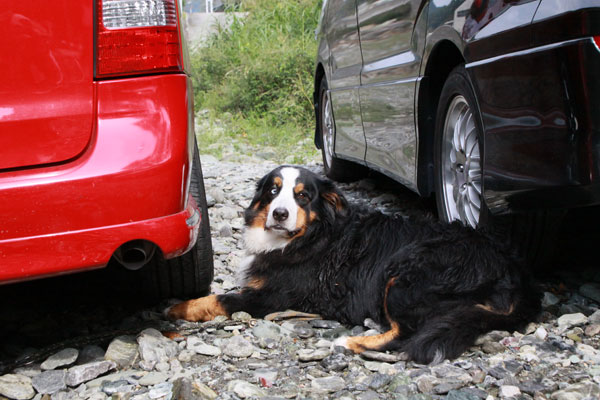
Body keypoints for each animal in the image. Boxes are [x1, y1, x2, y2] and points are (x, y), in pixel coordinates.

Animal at [166, 165, 540, 362]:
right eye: (273, 191)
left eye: (303, 196)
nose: (280, 214)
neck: (310, 234)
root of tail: (511, 271)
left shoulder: (269, 296)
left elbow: (218, 299)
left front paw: (178, 307)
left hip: (406, 274)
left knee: (406, 335)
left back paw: (354, 343)